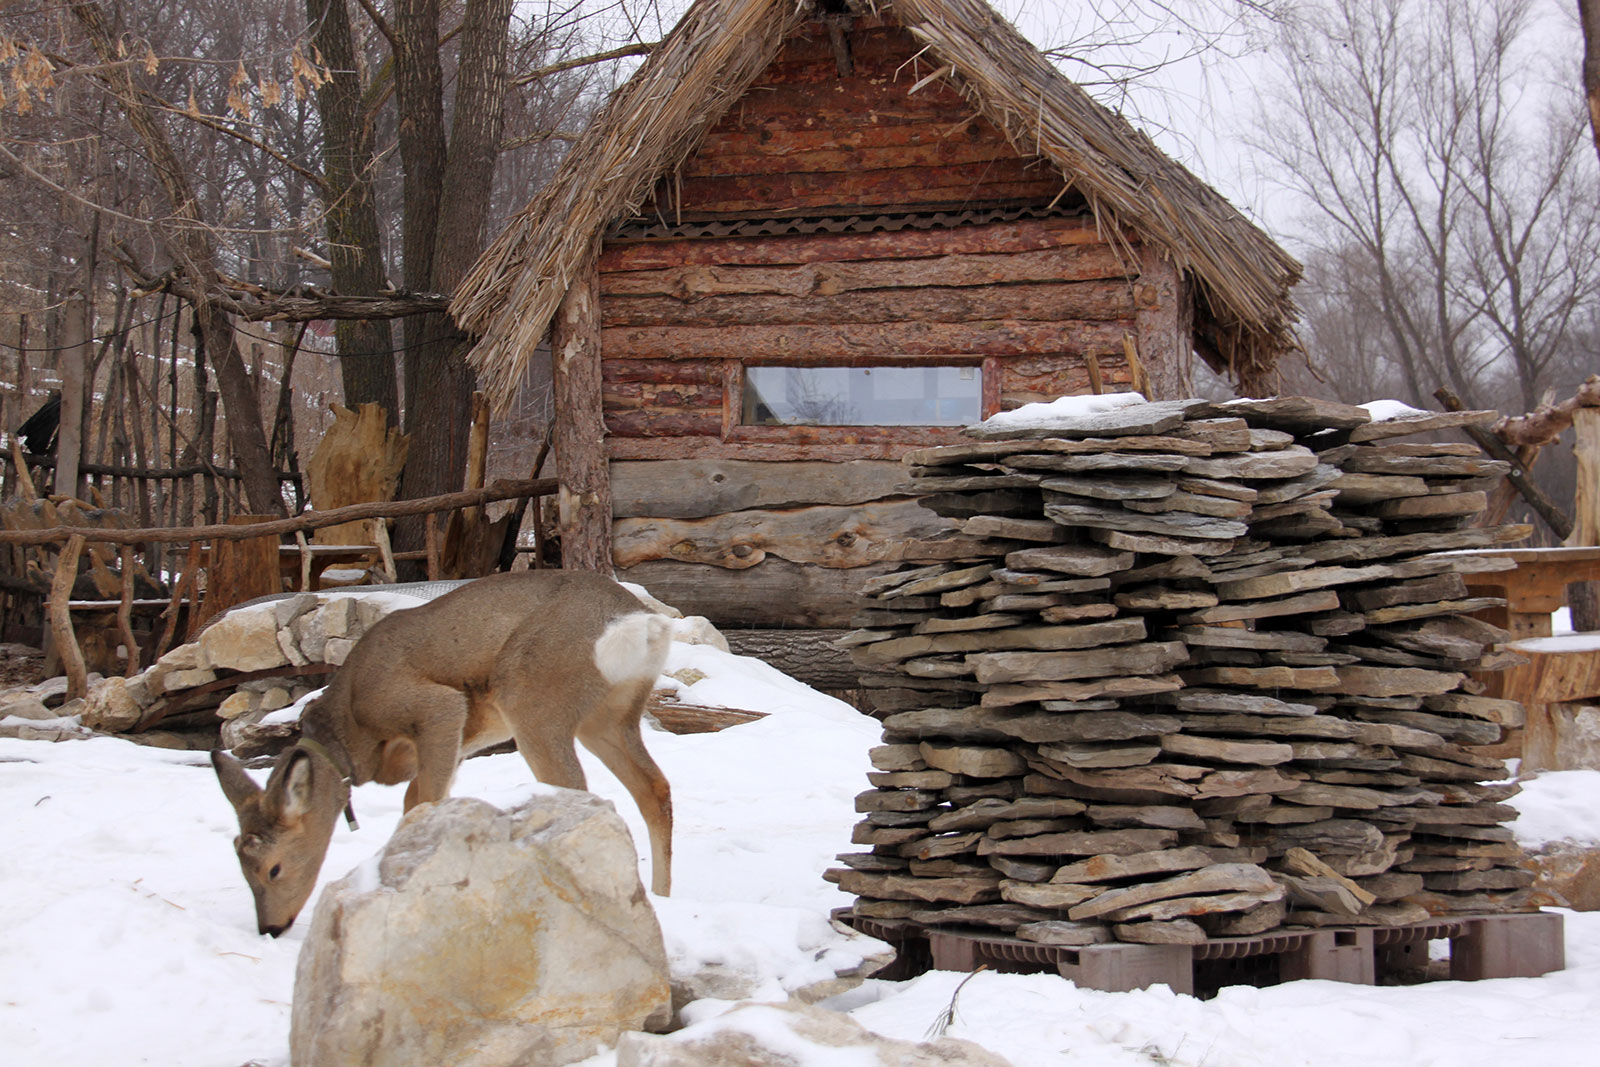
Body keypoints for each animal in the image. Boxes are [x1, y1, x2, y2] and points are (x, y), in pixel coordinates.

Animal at [209, 566, 672, 934]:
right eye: (240, 864)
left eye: (273, 867)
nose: (269, 928)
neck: (353, 735)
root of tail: (637, 620)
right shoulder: (456, 746)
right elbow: (416, 803)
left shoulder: (437, 709)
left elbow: (425, 802)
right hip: (610, 716)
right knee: (654, 789)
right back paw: (661, 897)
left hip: (533, 700)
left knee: (582, 792)